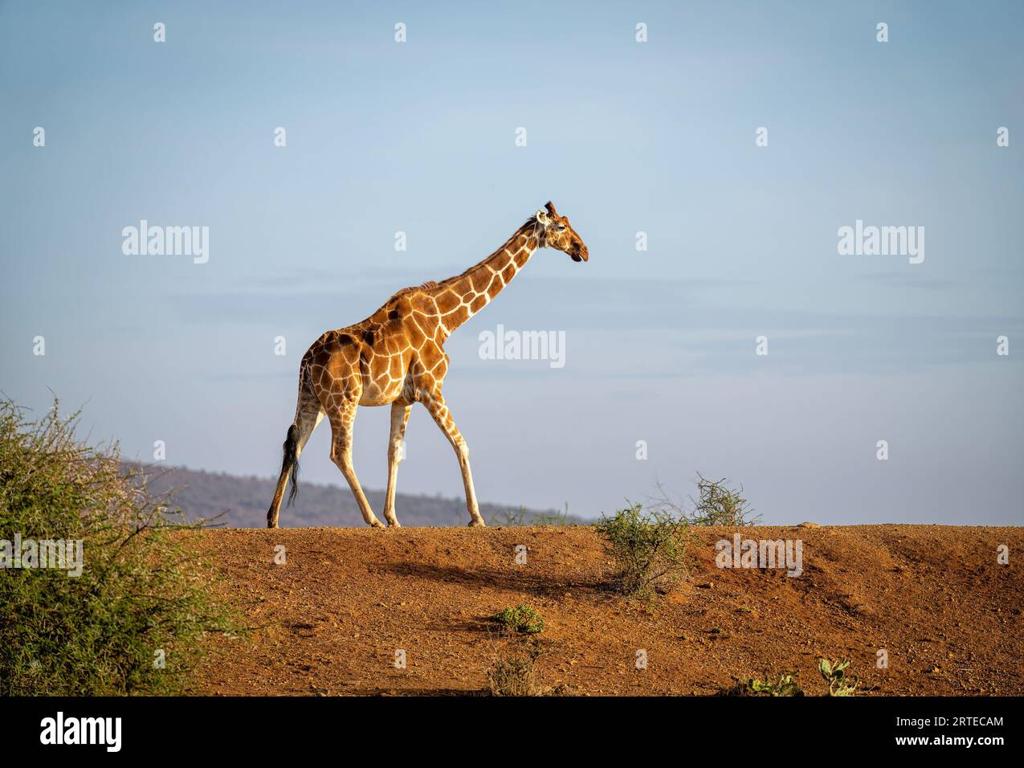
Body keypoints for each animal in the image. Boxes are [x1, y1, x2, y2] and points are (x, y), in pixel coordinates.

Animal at [268, 202, 589, 528]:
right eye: (561, 227)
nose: (583, 250)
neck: (445, 319)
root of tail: (306, 361)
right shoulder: (430, 387)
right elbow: (461, 444)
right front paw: (476, 517)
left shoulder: (404, 398)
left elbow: (394, 452)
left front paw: (394, 518)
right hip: (344, 399)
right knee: (340, 452)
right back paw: (371, 520)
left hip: (314, 400)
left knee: (294, 442)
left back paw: (273, 519)